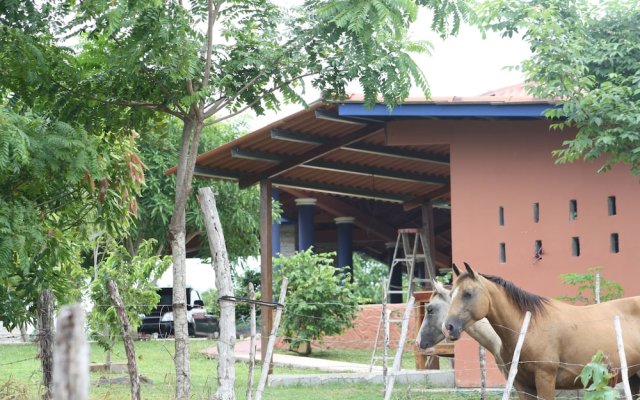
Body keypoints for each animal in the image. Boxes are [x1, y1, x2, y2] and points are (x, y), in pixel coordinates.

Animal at [444, 262, 640, 400]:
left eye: (468, 293)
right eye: (451, 293)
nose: (448, 327)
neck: (529, 326)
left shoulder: (545, 378)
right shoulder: (522, 384)